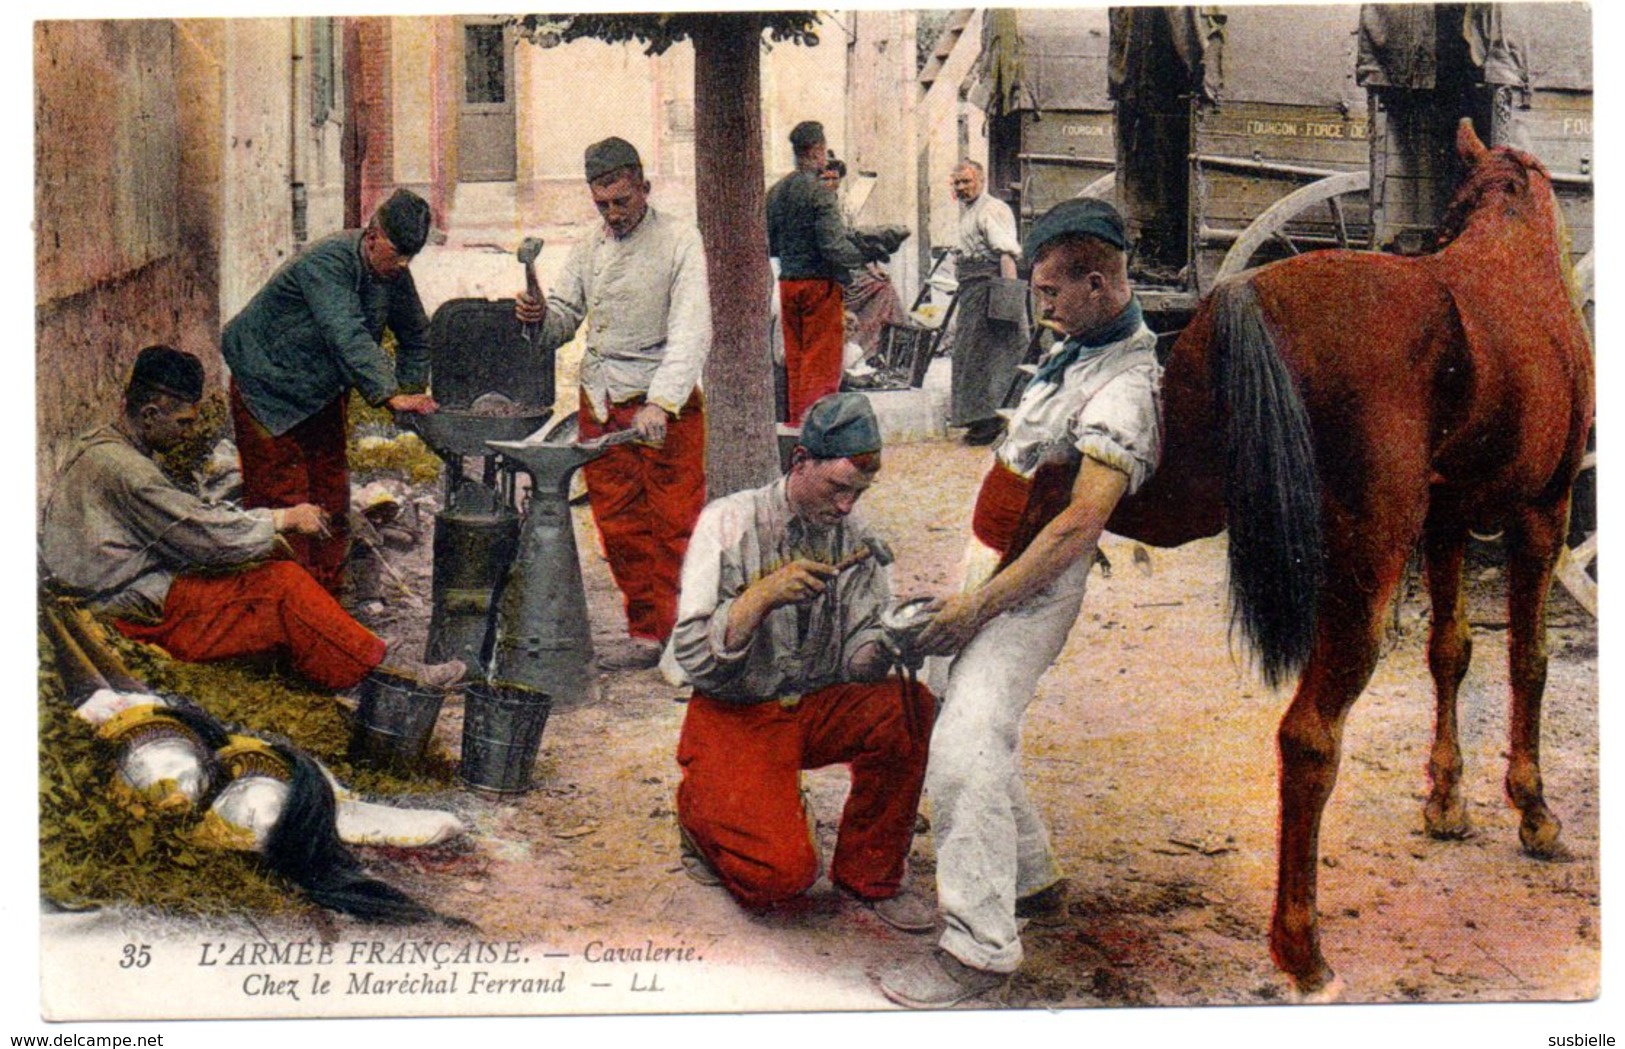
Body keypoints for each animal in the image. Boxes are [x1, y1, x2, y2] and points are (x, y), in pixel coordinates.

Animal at [1111, 119, 1592, 1000]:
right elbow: (1527, 658)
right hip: (1363, 567)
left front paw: (1445, 800)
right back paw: (1301, 946)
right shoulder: (1543, 514)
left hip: (1168, 499)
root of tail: (1246, 297)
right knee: (1308, 737)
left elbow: (1450, 650)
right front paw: (1533, 810)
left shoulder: (1447, 522)